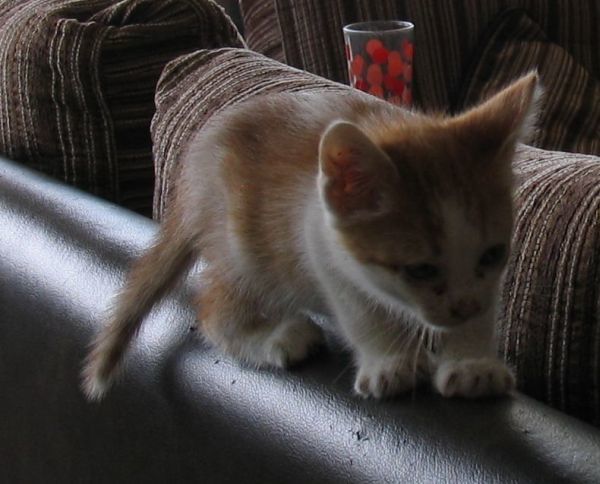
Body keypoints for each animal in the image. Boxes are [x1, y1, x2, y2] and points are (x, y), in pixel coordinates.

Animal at [81, 73, 540, 400]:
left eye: (492, 255)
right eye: (421, 270)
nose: (464, 306)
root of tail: (192, 178)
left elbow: (485, 311)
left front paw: (471, 363)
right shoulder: (319, 244)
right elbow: (362, 312)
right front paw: (390, 363)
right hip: (246, 251)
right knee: (214, 308)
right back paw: (276, 336)